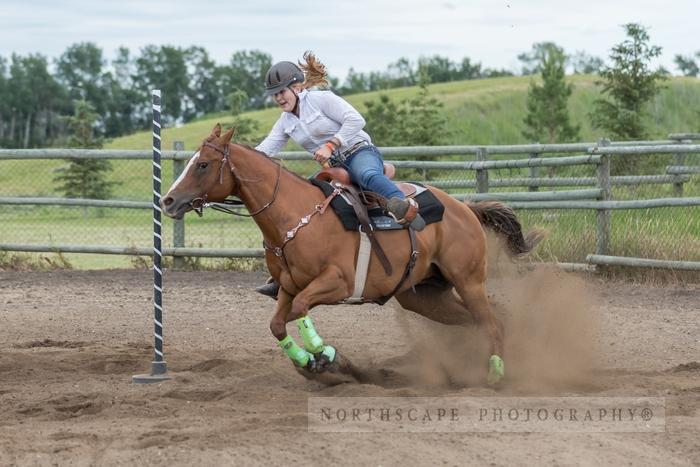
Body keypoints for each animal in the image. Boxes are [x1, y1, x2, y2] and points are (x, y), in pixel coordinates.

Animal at [160, 124, 540, 384]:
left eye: (203, 164)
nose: (168, 200)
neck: (296, 216)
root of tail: (465, 208)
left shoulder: (337, 283)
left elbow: (300, 311)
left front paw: (326, 355)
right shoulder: (288, 286)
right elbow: (277, 323)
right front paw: (308, 362)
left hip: (468, 280)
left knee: (490, 321)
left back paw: (496, 373)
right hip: (425, 296)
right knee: (482, 319)